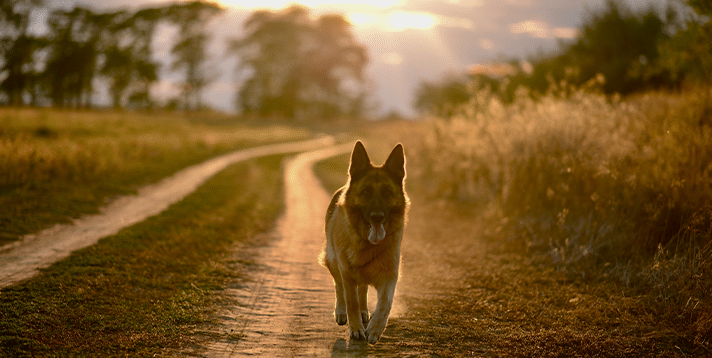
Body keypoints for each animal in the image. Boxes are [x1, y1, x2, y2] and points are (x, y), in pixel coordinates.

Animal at [320, 141, 408, 344]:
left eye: (387, 192)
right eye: (366, 192)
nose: (377, 216)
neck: (369, 245)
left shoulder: (390, 276)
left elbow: (385, 304)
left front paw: (375, 329)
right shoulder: (347, 273)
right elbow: (350, 300)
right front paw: (356, 328)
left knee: (363, 290)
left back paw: (364, 312)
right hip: (333, 262)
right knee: (339, 287)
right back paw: (341, 312)